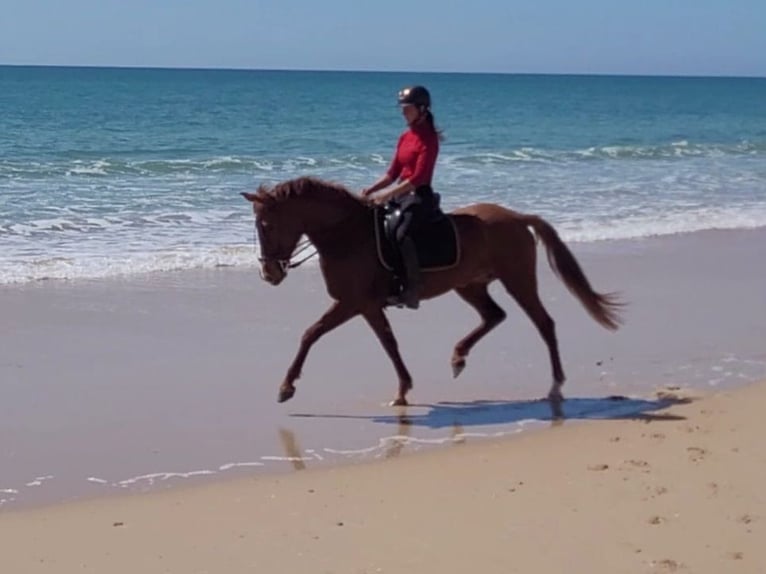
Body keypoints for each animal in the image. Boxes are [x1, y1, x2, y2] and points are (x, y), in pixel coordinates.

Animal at [242, 176, 623, 407]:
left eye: (266, 225)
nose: (268, 273)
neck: (346, 235)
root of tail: (516, 217)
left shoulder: (354, 303)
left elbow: (314, 334)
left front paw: (286, 387)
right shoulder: (360, 305)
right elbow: (380, 341)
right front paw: (403, 389)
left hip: (518, 279)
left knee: (544, 323)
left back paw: (555, 385)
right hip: (469, 285)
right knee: (494, 315)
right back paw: (458, 357)